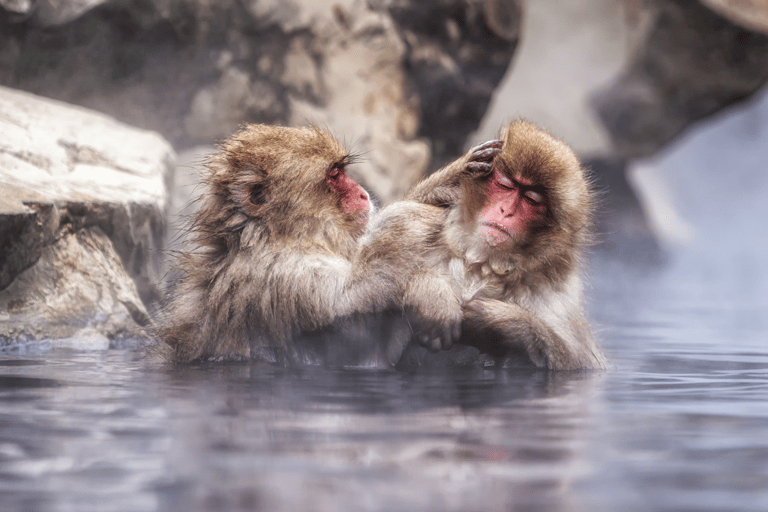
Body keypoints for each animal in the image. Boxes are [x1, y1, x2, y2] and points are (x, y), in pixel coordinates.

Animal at [381, 120, 607, 370]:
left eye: (531, 199)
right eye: (506, 185)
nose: (506, 211)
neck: (482, 260)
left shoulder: (557, 292)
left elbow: (578, 363)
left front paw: (501, 320)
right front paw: (432, 294)